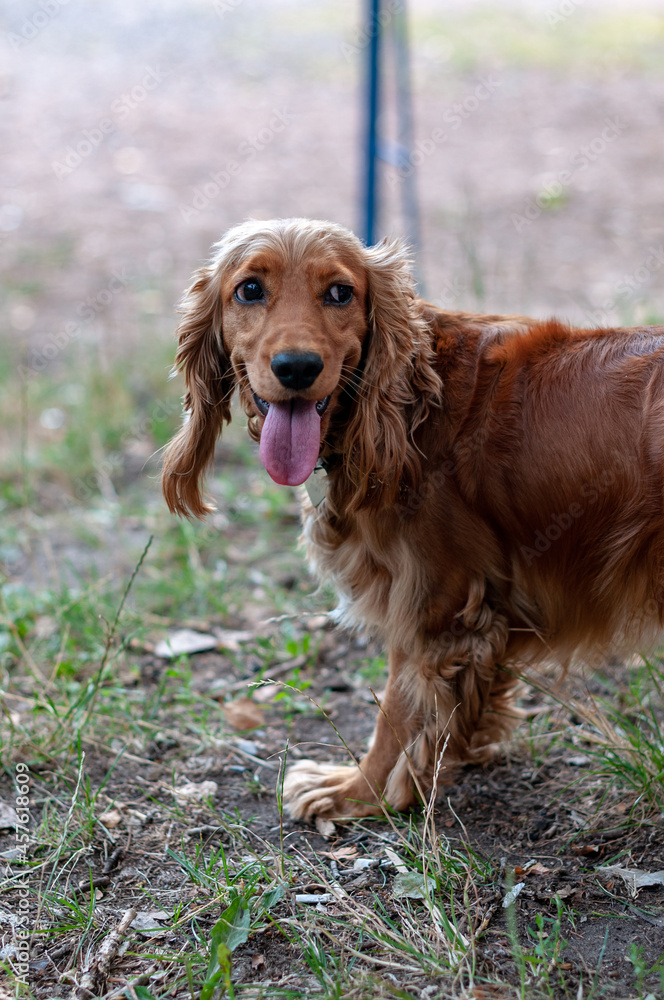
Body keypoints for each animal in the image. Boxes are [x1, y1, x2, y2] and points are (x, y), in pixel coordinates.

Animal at [162, 219, 664, 820]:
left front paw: (360, 791)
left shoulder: (433, 602)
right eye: (250, 290)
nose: (298, 367)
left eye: (340, 293)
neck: (410, 405)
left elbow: (398, 710)